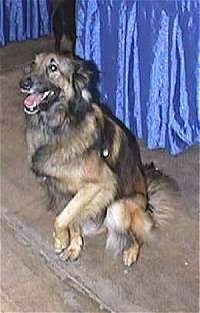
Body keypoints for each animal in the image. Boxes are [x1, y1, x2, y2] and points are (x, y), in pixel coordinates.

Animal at [19, 51, 180, 266]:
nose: (23, 83)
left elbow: (61, 219)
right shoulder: (67, 193)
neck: (61, 125)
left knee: (139, 235)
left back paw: (132, 251)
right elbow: (71, 219)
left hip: (119, 207)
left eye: (53, 68)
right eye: (33, 64)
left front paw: (61, 240)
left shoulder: (100, 184)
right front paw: (74, 247)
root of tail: (148, 205)